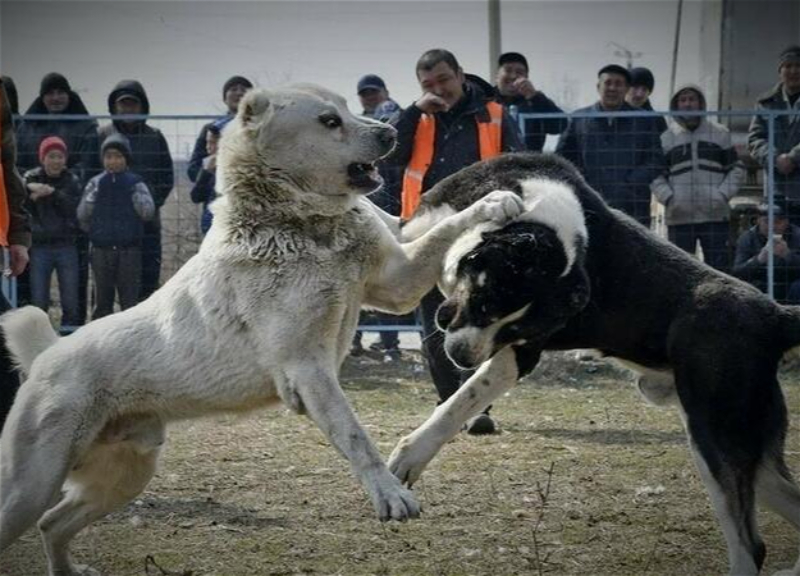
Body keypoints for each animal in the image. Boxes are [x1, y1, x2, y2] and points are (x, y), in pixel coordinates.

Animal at [0, 85, 524, 576]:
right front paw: (389, 494)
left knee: (53, 523)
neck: (299, 223)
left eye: (347, 109)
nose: (391, 133)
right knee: (37, 517)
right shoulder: (308, 369)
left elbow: (443, 229)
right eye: (330, 121)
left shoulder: (398, 281)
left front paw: (494, 201)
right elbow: (355, 436)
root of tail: (47, 353)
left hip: (124, 475)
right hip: (34, 483)